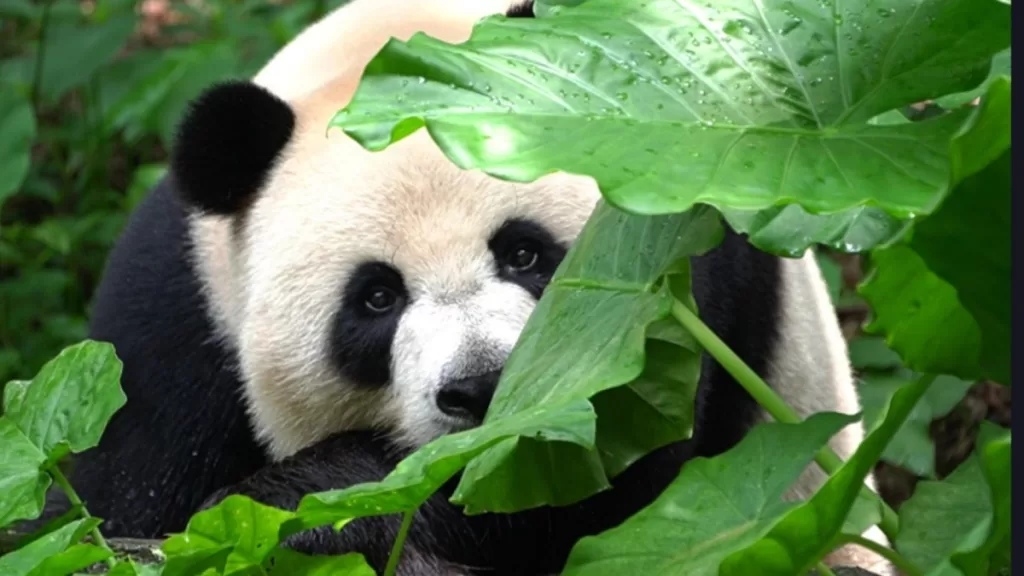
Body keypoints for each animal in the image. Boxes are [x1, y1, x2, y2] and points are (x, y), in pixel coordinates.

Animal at [61, 0, 890, 573]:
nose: (486, 388)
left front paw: (300, 504)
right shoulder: (176, 323)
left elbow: (590, 499)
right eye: (376, 298)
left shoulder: (678, 251)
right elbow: (111, 508)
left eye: (524, 253)